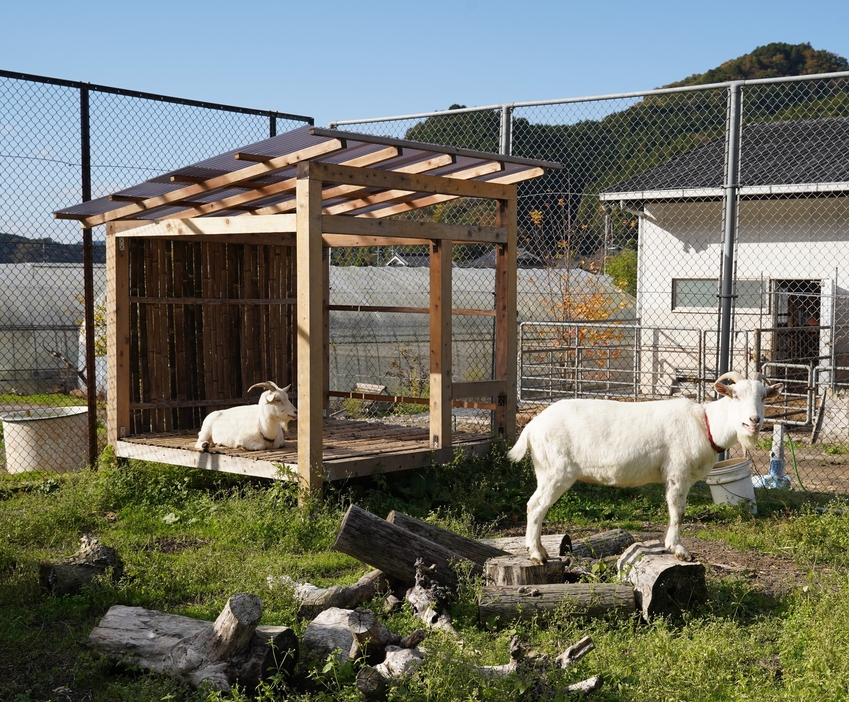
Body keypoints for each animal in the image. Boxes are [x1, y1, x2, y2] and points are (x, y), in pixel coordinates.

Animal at [506, 372, 780, 564]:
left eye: (763, 397)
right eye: (735, 395)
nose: (754, 421)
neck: (705, 423)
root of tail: (532, 427)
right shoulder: (678, 472)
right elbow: (678, 511)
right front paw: (679, 550)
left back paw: (541, 551)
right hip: (555, 471)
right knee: (536, 505)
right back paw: (537, 555)